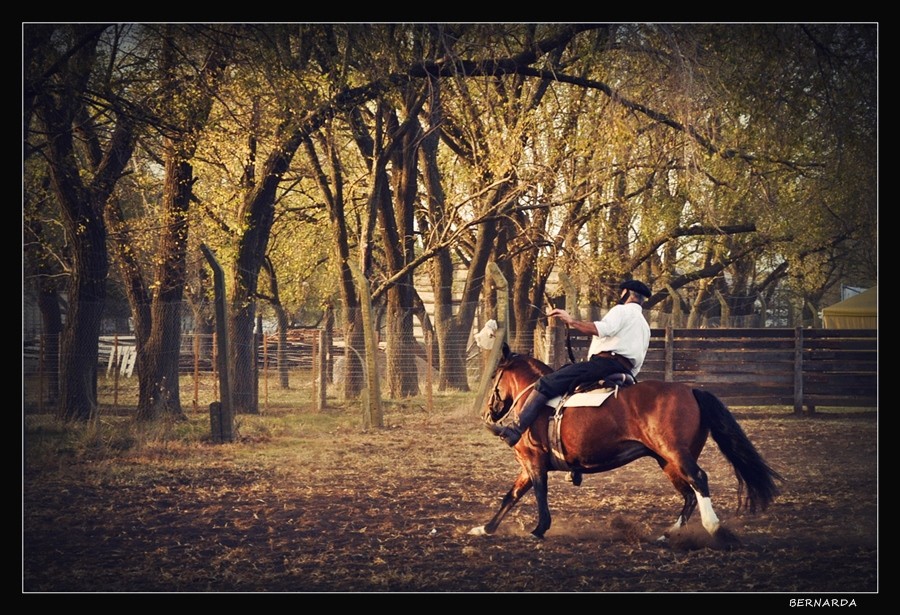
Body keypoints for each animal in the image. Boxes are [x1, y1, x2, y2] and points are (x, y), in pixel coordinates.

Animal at [478, 346, 780, 544]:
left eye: (494, 376)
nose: (488, 411)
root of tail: (691, 390)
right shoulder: (528, 465)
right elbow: (511, 496)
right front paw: (485, 529)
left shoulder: (534, 461)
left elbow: (538, 493)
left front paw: (539, 529)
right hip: (667, 461)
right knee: (689, 494)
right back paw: (667, 534)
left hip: (675, 454)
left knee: (699, 479)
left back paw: (714, 528)